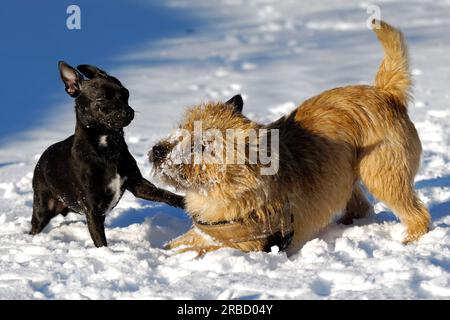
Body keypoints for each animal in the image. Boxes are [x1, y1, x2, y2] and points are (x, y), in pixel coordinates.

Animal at [29, 62, 183, 248]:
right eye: (101, 99)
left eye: (126, 93)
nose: (128, 112)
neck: (107, 148)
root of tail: (42, 159)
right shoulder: (93, 210)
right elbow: (101, 242)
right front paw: (108, 253)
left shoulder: (138, 184)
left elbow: (165, 194)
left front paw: (186, 203)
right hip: (43, 207)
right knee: (35, 226)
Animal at [149, 20, 430, 255]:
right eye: (182, 129)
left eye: (203, 145)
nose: (157, 151)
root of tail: (386, 93)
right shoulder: (208, 233)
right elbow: (179, 242)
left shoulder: (245, 244)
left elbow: (197, 251)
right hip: (343, 177)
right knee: (360, 207)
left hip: (382, 174)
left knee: (417, 213)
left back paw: (410, 239)